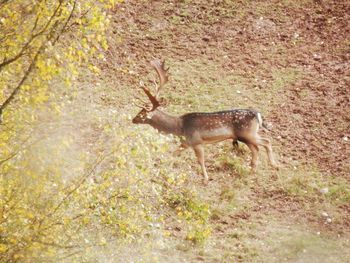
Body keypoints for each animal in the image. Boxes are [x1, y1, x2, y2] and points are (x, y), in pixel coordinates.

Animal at [132, 59, 278, 185]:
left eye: (142, 113)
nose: (133, 120)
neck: (179, 128)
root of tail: (258, 114)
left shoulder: (197, 141)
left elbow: (200, 160)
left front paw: (206, 179)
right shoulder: (186, 143)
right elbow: (173, 154)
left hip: (247, 133)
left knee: (266, 141)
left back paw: (273, 165)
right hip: (245, 136)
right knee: (256, 149)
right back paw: (252, 169)